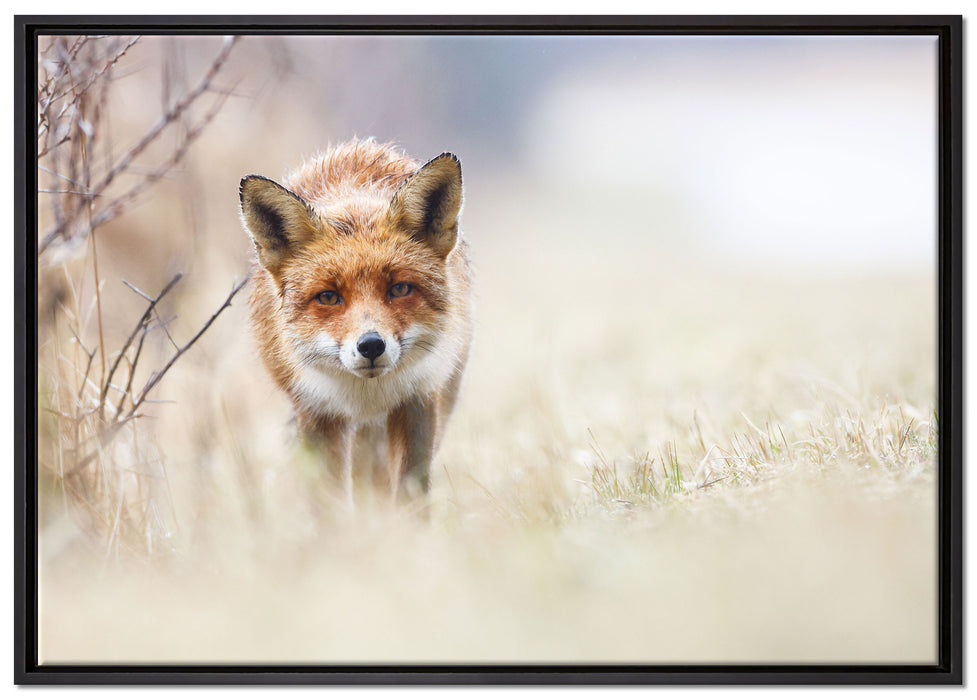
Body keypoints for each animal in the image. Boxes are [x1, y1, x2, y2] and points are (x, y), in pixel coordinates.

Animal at [239, 139, 474, 503]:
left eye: (399, 289)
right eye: (328, 297)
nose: (371, 345)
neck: (367, 395)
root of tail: (359, 145)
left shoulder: (419, 400)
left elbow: (410, 494)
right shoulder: (316, 412)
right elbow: (328, 500)